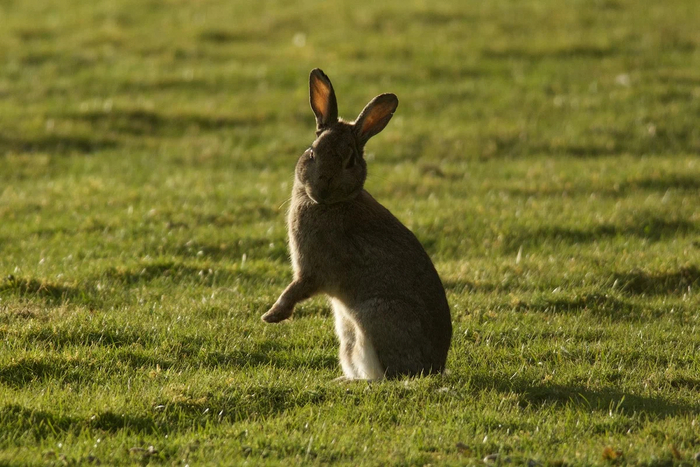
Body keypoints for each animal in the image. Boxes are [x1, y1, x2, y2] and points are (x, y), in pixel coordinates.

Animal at [262, 67, 454, 378]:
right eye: (312, 152)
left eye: (350, 161)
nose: (321, 189)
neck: (334, 204)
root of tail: (434, 367)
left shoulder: (312, 269)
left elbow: (296, 289)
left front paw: (271, 316)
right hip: (350, 335)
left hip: (376, 318)